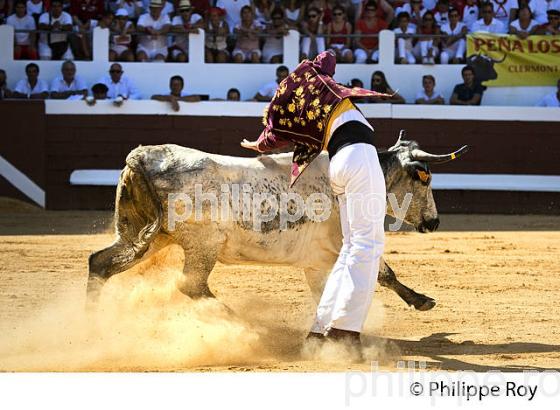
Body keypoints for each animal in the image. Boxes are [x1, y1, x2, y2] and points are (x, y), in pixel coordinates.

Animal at [86, 133, 468, 312]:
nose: (434, 222)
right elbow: (384, 272)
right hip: (201, 245)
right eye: (425, 180)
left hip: (144, 238)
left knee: (99, 263)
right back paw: (234, 316)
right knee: (190, 284)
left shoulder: (317, 261)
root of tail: (140, 156)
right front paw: (422, 300)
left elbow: (325, 291)